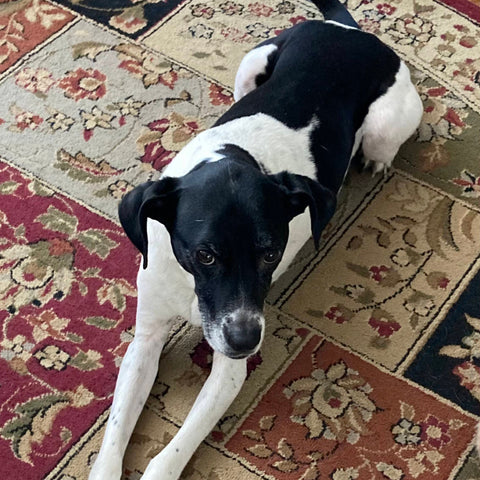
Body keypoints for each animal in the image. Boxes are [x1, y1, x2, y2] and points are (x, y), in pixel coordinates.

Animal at [88, 1, 422, 478]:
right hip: (252, 64)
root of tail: (350, 31)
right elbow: (115, 434)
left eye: (270, 253)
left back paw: (373, 163)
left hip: (383, 124)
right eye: (204, 254)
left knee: (381, 146)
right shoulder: (145, 341)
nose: (245, 342)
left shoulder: (229, 369)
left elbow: (169, 455)